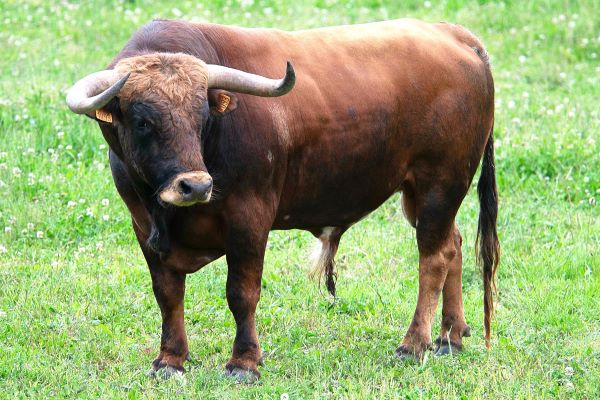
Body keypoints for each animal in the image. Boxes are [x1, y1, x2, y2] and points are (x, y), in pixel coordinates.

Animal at [66, 18, 499, 380]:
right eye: (143, 120)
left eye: (202, 116)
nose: (196, 186)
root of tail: (454, 34)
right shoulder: (144, 228)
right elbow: (168, 294)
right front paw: (170, 360)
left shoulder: (249, 218)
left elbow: (241, 293)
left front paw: (244, 363)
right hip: (420, 195)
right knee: (454, 245)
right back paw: (450, 337)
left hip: (439, 185)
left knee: (434, 258)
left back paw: (414, 344)